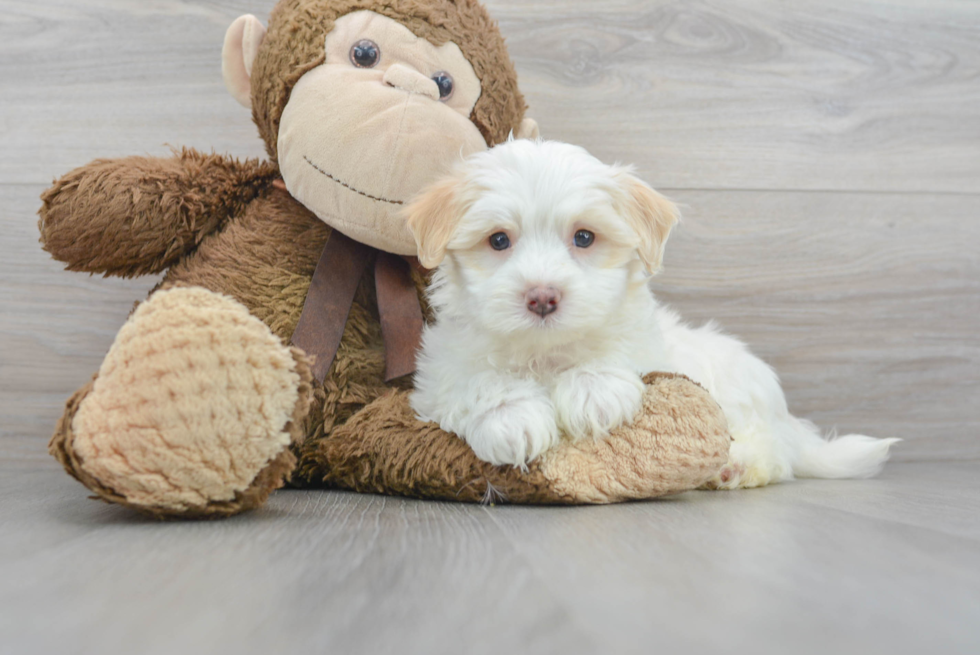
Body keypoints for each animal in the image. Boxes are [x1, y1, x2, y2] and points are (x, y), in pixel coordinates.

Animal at [402, 138, 900, 486]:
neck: (545, 354)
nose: (543, 297)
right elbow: (474, 382)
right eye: (499, 240)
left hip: (741, 390)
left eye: (584, 237)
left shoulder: (646, 347)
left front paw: (593, 390)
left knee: (775, 452)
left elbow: (618, 355)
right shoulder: (439, 373)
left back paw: (736, 465)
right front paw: (511, 417)